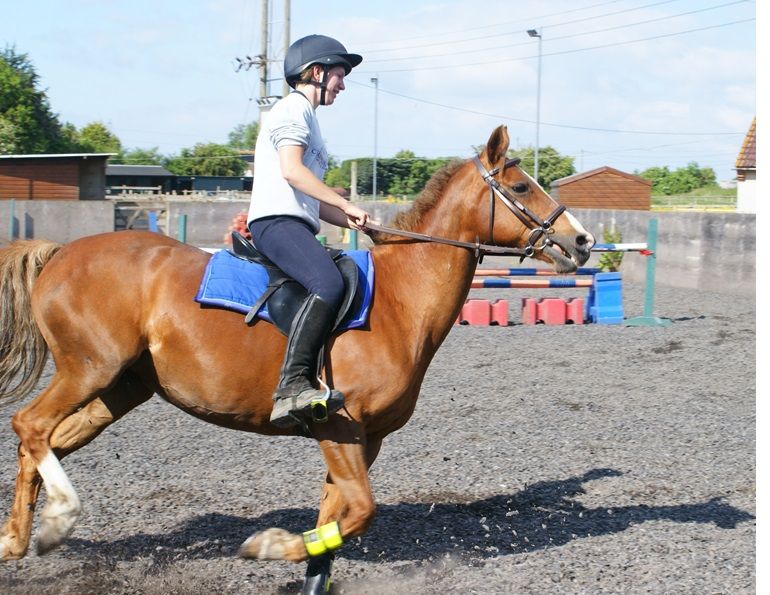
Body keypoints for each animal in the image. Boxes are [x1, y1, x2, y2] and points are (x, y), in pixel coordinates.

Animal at [0, 126, 593, 588]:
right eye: (520, 186)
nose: (583, 241)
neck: (400, 300)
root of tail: (61, 252)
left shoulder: (364, 440)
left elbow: (337, 523)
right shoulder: (338, 425)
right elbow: (361, 511)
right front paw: (266, 546)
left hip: (123, 388)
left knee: (45, 441)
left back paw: (17, 537)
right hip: (90, 370)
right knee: (30, 425)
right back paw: (57, 520)